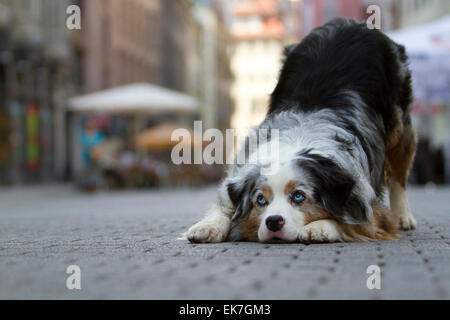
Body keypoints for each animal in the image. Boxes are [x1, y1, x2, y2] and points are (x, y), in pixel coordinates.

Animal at [185, 18, 416, 244]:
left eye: (298, 196)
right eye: (260, 200)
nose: (273, 221)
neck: (298, 138)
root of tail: (347, 22)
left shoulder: (368, 206)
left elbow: (348, 222)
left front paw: (320, 226)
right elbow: (224, 208)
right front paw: (208, 226)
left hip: (399, 123)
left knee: (399, 174)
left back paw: (404, 217)